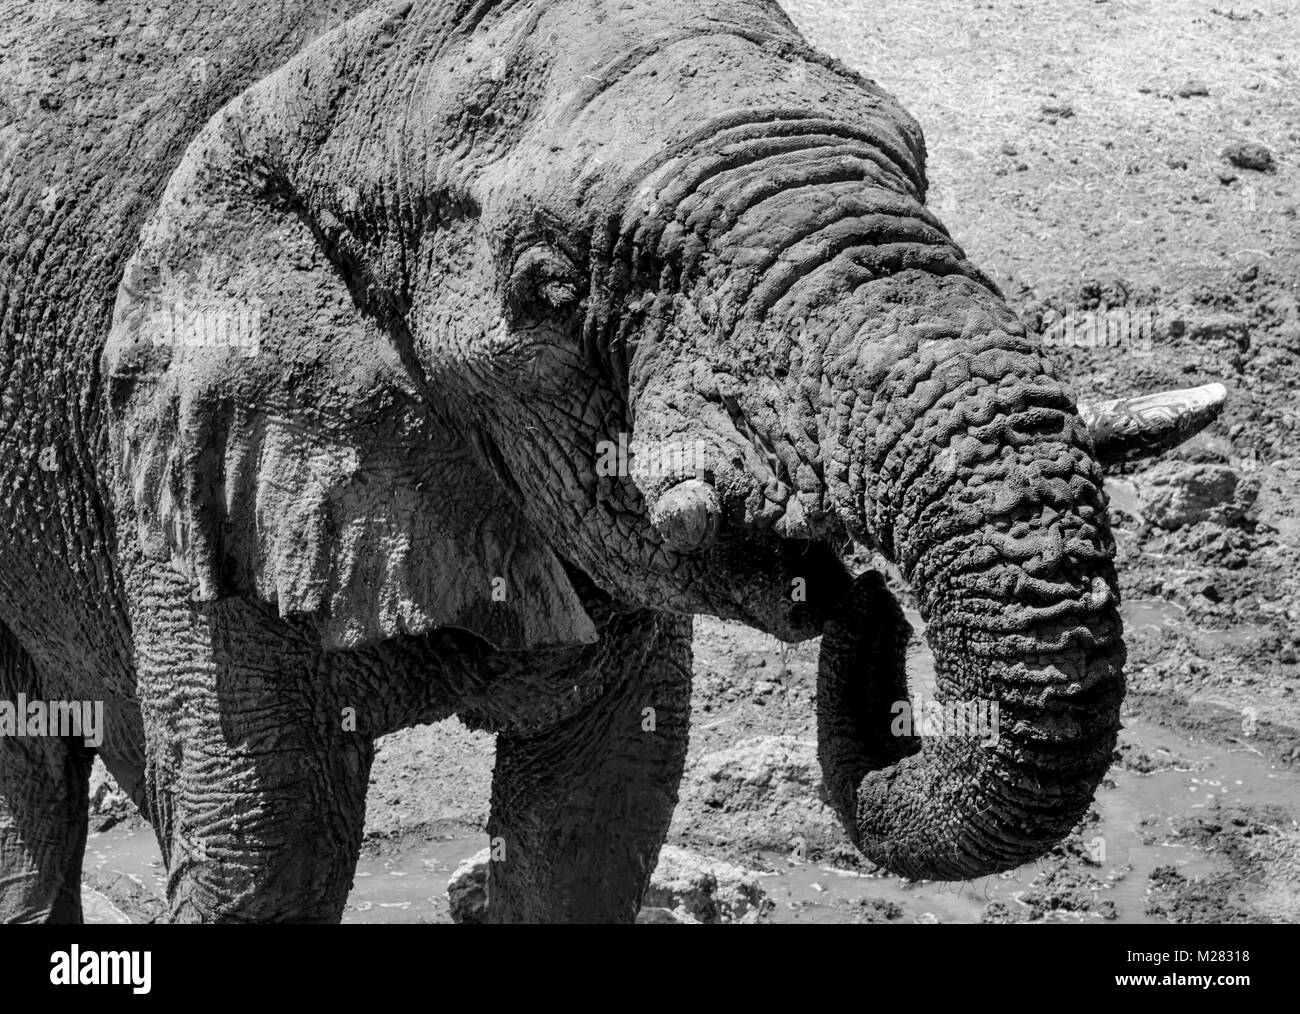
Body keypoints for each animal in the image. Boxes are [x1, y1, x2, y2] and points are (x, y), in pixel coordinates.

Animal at [0, 0, 1223, 923]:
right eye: (550, 287)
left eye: (919, 171)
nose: (851, 586)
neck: (368, 70)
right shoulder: (190, 469)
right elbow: (268, 850)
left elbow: (595, 823)